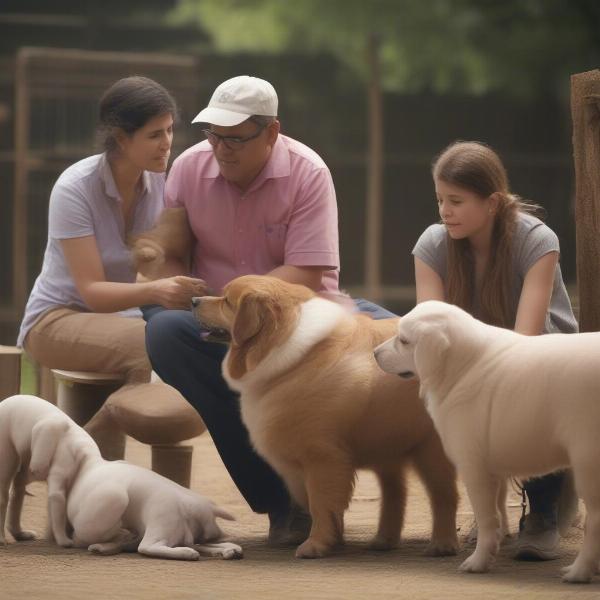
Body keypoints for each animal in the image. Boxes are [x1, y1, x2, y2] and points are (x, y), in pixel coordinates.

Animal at [0, 394, 99, 548]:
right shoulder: (60, 463)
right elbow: (57, 498)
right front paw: (64, 540)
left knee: (18, 489)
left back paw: (22, 534)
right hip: (6, 448)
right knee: (5, 491)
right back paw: (2, 539)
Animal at [192, 274, 460, 560]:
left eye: (227, 301)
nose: (193, 300)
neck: (293, 355)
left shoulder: (322, 458)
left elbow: (321, 504)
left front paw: (316, 545)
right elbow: (321, 505)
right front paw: (333, 540)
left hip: (430, 451)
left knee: (444, 495)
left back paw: (442, 544)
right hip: (388, 446)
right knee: (395, 495)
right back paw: (383, 540)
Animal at [376, 302, 600, 584]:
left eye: (404, 341)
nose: (374, 353)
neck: (463, 367)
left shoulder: (474, 468)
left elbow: (486, 518)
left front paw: (478, 562)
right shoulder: (494, 470)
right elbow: (498, 510)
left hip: (587, 463)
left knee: (595, 523)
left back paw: (579, 572)